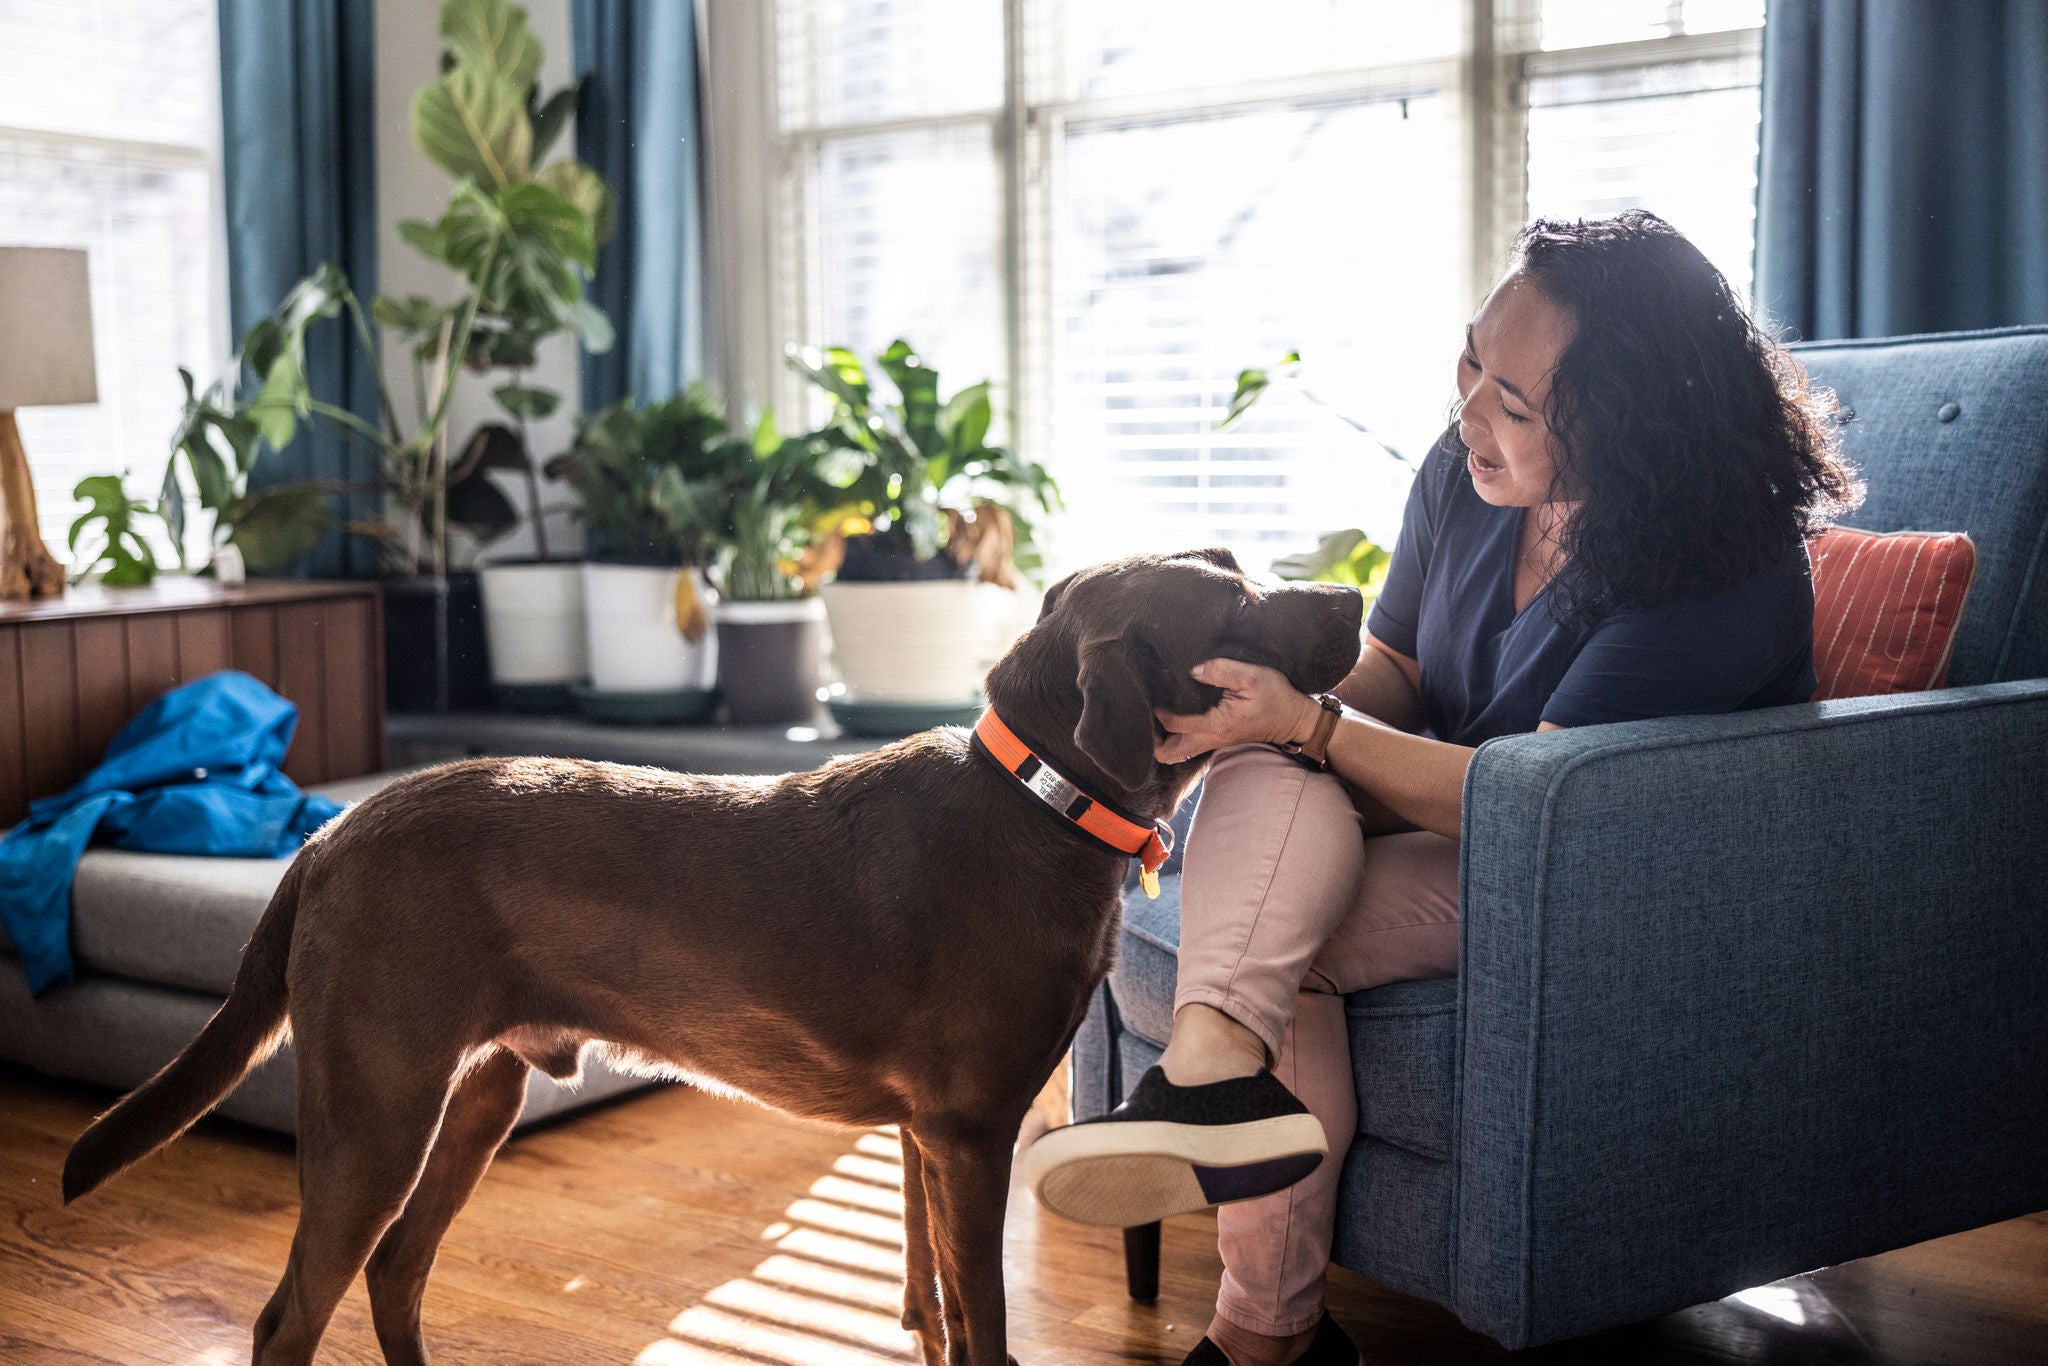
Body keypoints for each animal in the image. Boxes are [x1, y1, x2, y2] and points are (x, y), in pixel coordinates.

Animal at [59, 548, 1359, 1366]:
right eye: (1236, 603)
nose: (1351, 591)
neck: (1037, 800)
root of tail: (330, 833)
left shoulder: (923, 1139)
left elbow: (934, 1307)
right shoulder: (969, 1133)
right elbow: (982, 1322)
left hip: (474, 1096)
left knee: (395, 1275)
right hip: (378, 1111)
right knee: (289, 1316)